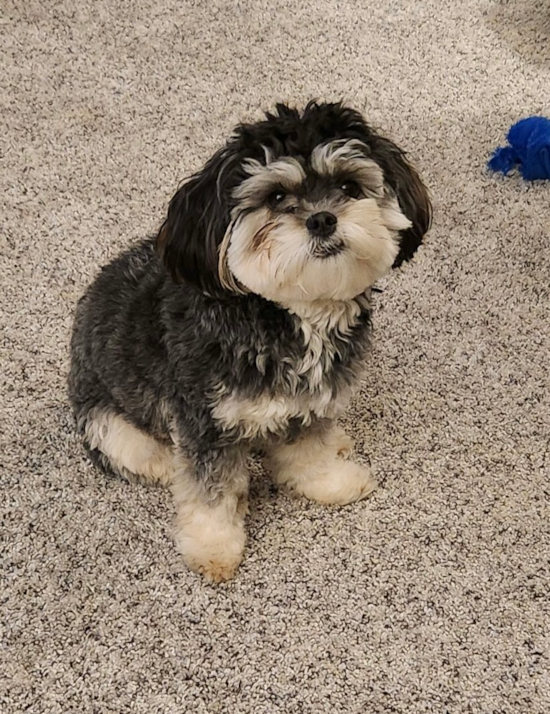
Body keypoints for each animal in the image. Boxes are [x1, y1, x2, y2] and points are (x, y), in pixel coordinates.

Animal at [68, 100, 432, 580]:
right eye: (275, 196)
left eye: (349, 186)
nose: (322, 219)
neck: (290, 315)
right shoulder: (206, 422)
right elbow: (210, 490)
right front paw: (213, 546)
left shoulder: (312, 401)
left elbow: (311, 451)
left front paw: (330, 482)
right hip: (110, 424)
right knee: (146, 454)